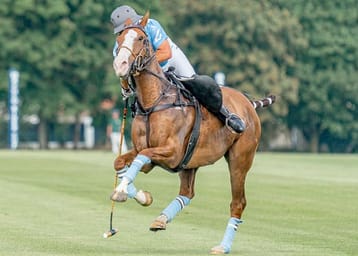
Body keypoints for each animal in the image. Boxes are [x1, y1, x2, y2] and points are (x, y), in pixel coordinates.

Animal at [110, 11, 276, 254]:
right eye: (119, 39)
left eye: (141, 38)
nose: (120, 64)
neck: (153, 102)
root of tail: (249, 103)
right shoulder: (153, 155)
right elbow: (121, 162)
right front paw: (140, 196)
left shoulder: (171, 152)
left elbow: (141, 157)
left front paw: (121, 191)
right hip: (190, 163)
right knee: (187, 193)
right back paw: (161, 219)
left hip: (240, 159)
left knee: (238, 202)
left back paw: (222, 247)